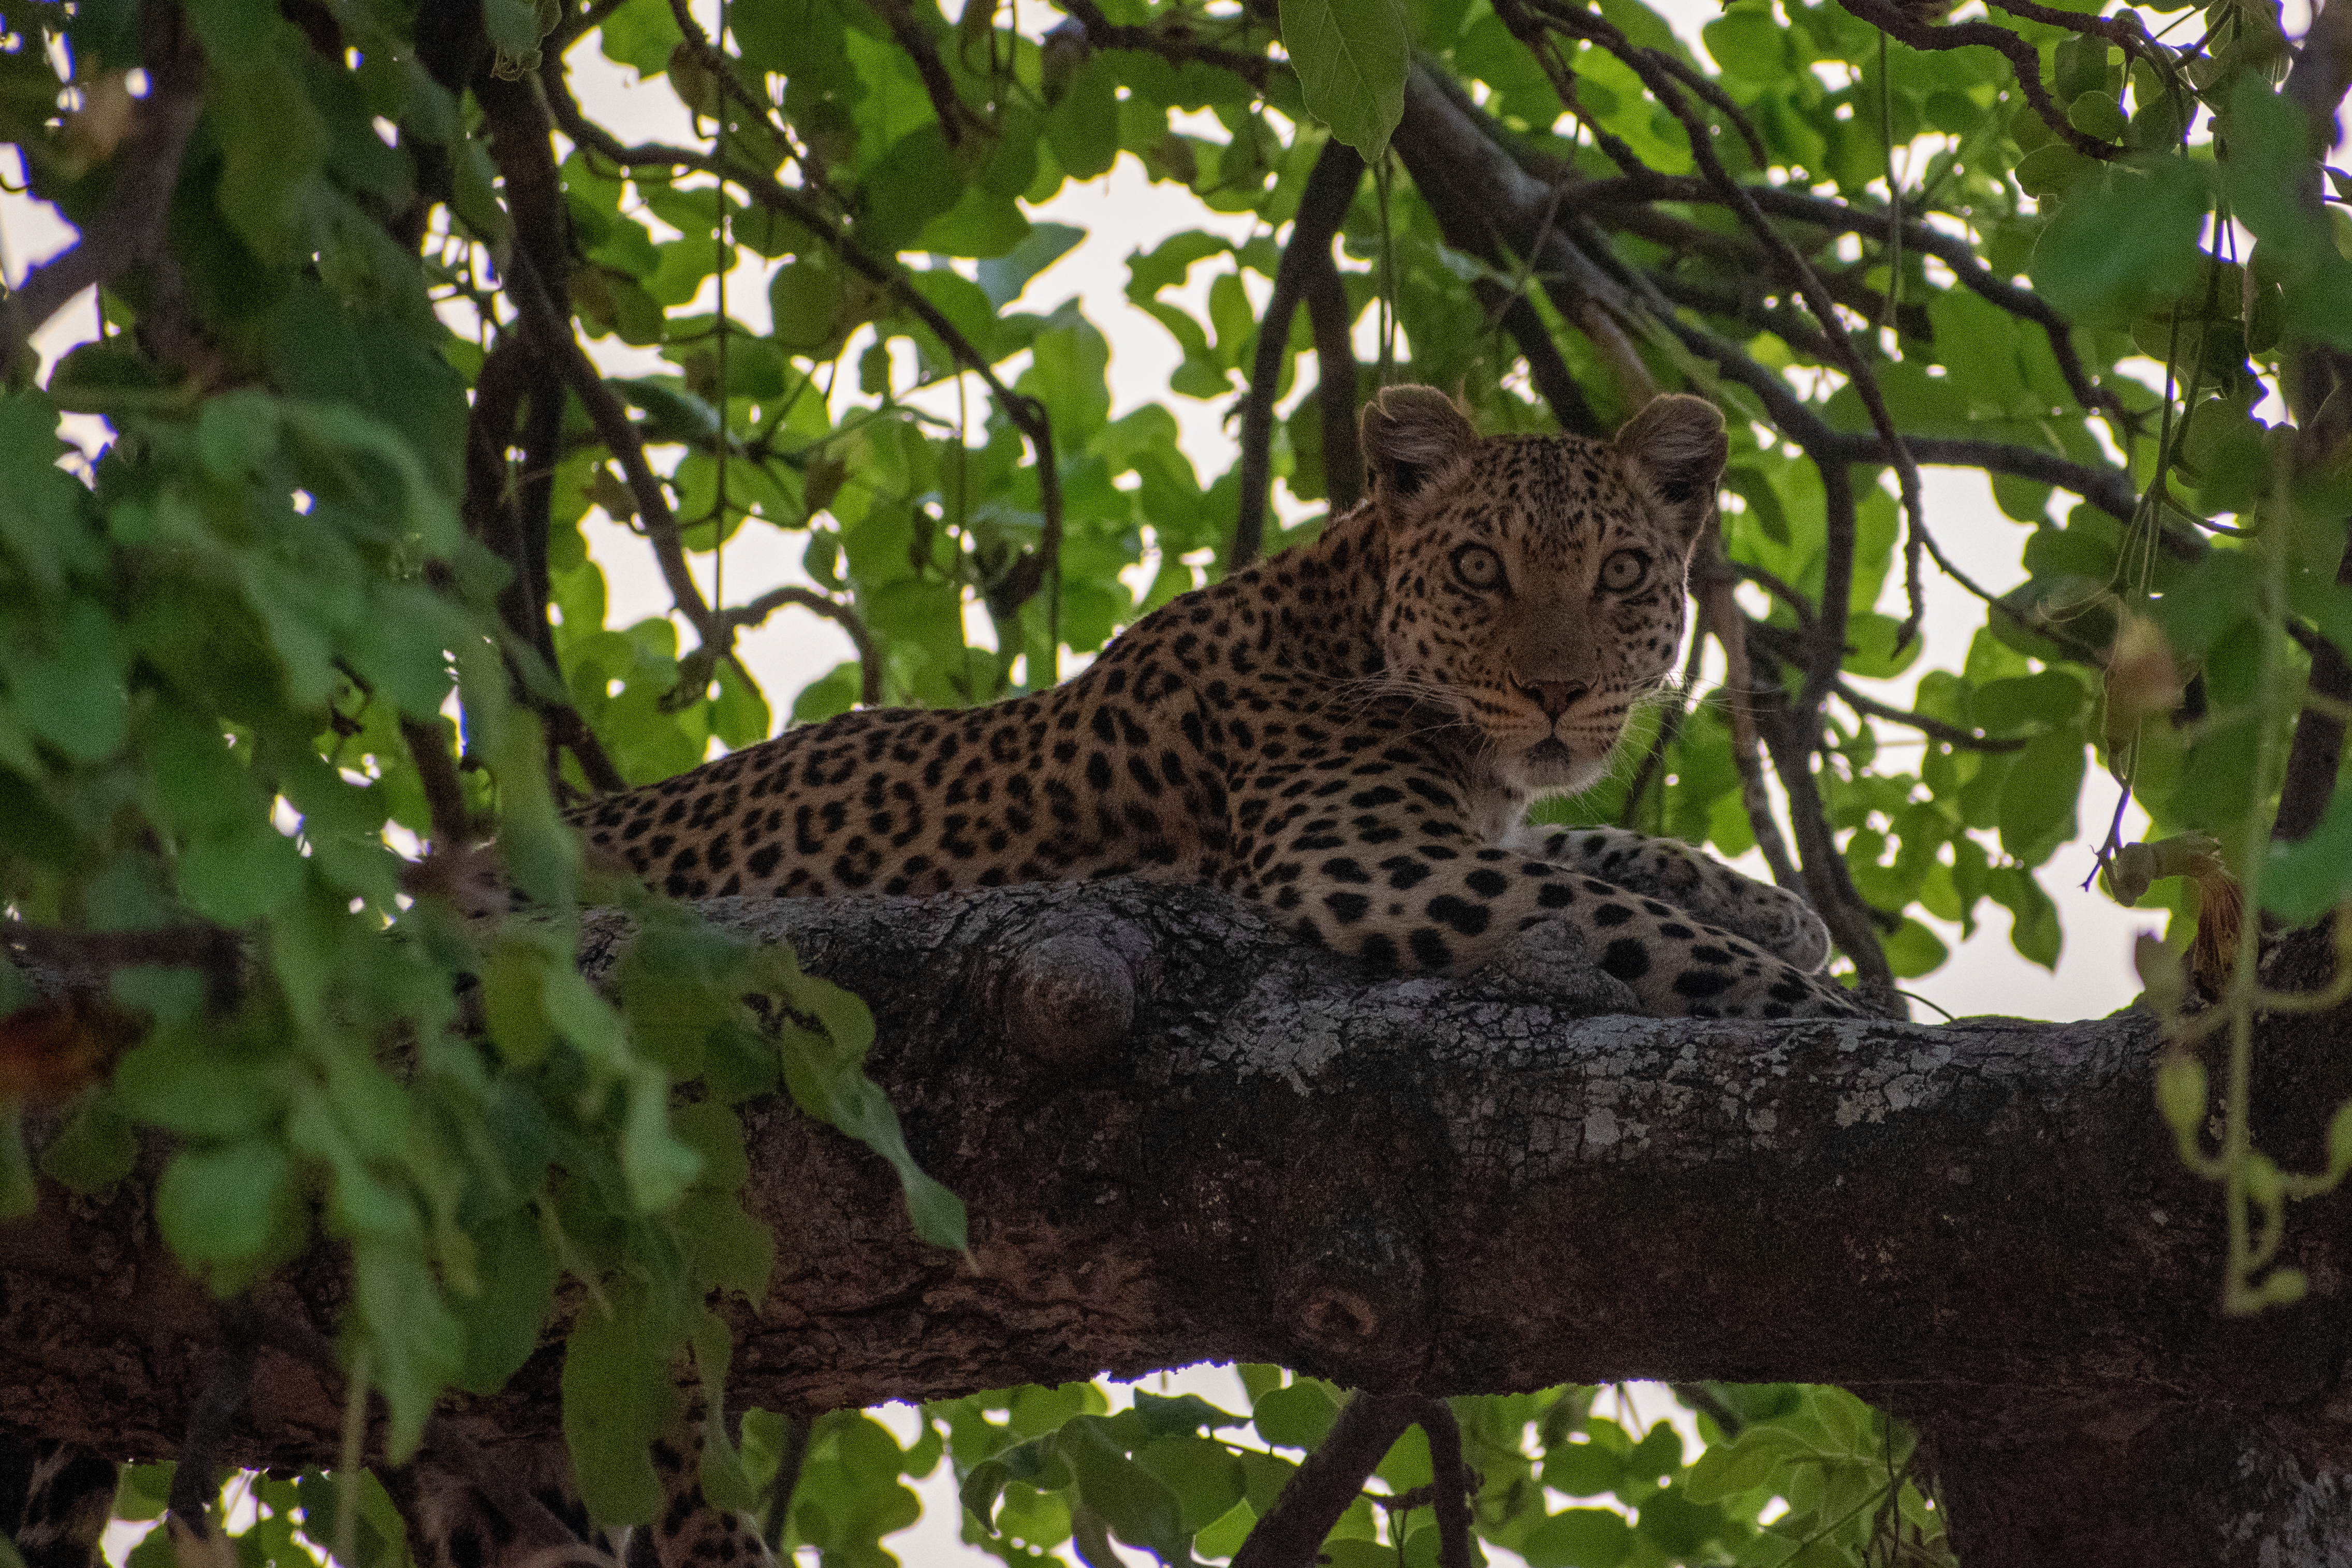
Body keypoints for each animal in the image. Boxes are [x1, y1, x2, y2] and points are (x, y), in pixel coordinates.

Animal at [568, 385, 1863, 1021]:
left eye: (1623, 573)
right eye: (1477, 567)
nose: (1557, 689)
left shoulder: (1457, 822)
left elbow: (1596, 851)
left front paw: (1772, 907)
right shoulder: (1367, 851)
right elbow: (1634, 924)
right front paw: (1843, 1011)